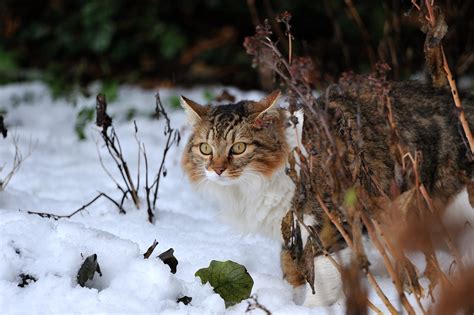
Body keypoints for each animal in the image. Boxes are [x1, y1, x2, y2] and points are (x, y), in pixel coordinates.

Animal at [180, 82, 472, 308]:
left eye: (238, 148)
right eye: (205, 149)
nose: (217, 169)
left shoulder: (338, 221)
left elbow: (320, 272)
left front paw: (308, 306)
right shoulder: (290, 226)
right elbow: (292, 264)